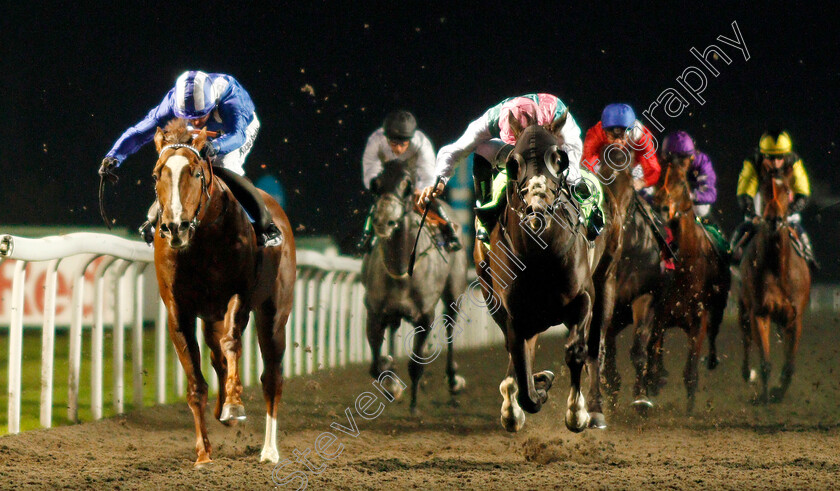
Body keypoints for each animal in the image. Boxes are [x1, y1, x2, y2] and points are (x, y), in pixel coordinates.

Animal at [151, 118, 296, 466]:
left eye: (196, 173)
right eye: (157, 174)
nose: (175, 227)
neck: (202, 239)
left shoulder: (239, 295)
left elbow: (232, 344)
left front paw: (233, 404)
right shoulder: (179, 310)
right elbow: (196, 381)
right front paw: (203, 453)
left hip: (273, 314)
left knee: (272, 376)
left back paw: (269, 450)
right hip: (210, 317)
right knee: (216, 357)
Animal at [360, 160, 470, 418]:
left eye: (407, 185)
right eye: (376, 184)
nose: (383, 221)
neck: (401, 270)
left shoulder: (425, 317)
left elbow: (416, 364)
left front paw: (413, 405)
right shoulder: (374, 313)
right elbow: (375, 365)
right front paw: (392, 385)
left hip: (454, 292)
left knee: (450, 328)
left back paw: (454, 382)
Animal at [476, 113, 600, 432]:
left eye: (560, 159)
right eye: (513, 163)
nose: (537, 209)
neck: (540, 256)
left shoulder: (583, 297)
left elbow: (575, 351)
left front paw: (577, 413)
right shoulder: (515, 315)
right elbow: (522, 378)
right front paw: (535, 390)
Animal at [648, 156, 732, 414]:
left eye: (681, 182)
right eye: (658, 179)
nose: (661, 207)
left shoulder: (699, 321)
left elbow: (690, 372)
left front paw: (689, 411)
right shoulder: (660, 315)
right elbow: (654, 349)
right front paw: (654, 381)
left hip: (718, 307)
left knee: (714, 333)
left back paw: (712, 359)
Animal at [740, 165, 812, 404]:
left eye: (787, 190)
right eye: (763, 188)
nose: (774, 219)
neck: (777, 269)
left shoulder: (794, 317)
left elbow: (789, 366)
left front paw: (778, 393)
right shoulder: (759, 313)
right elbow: (765, 363)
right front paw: (765, 399)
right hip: (743, 306)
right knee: (746, 335)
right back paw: (747, 373)